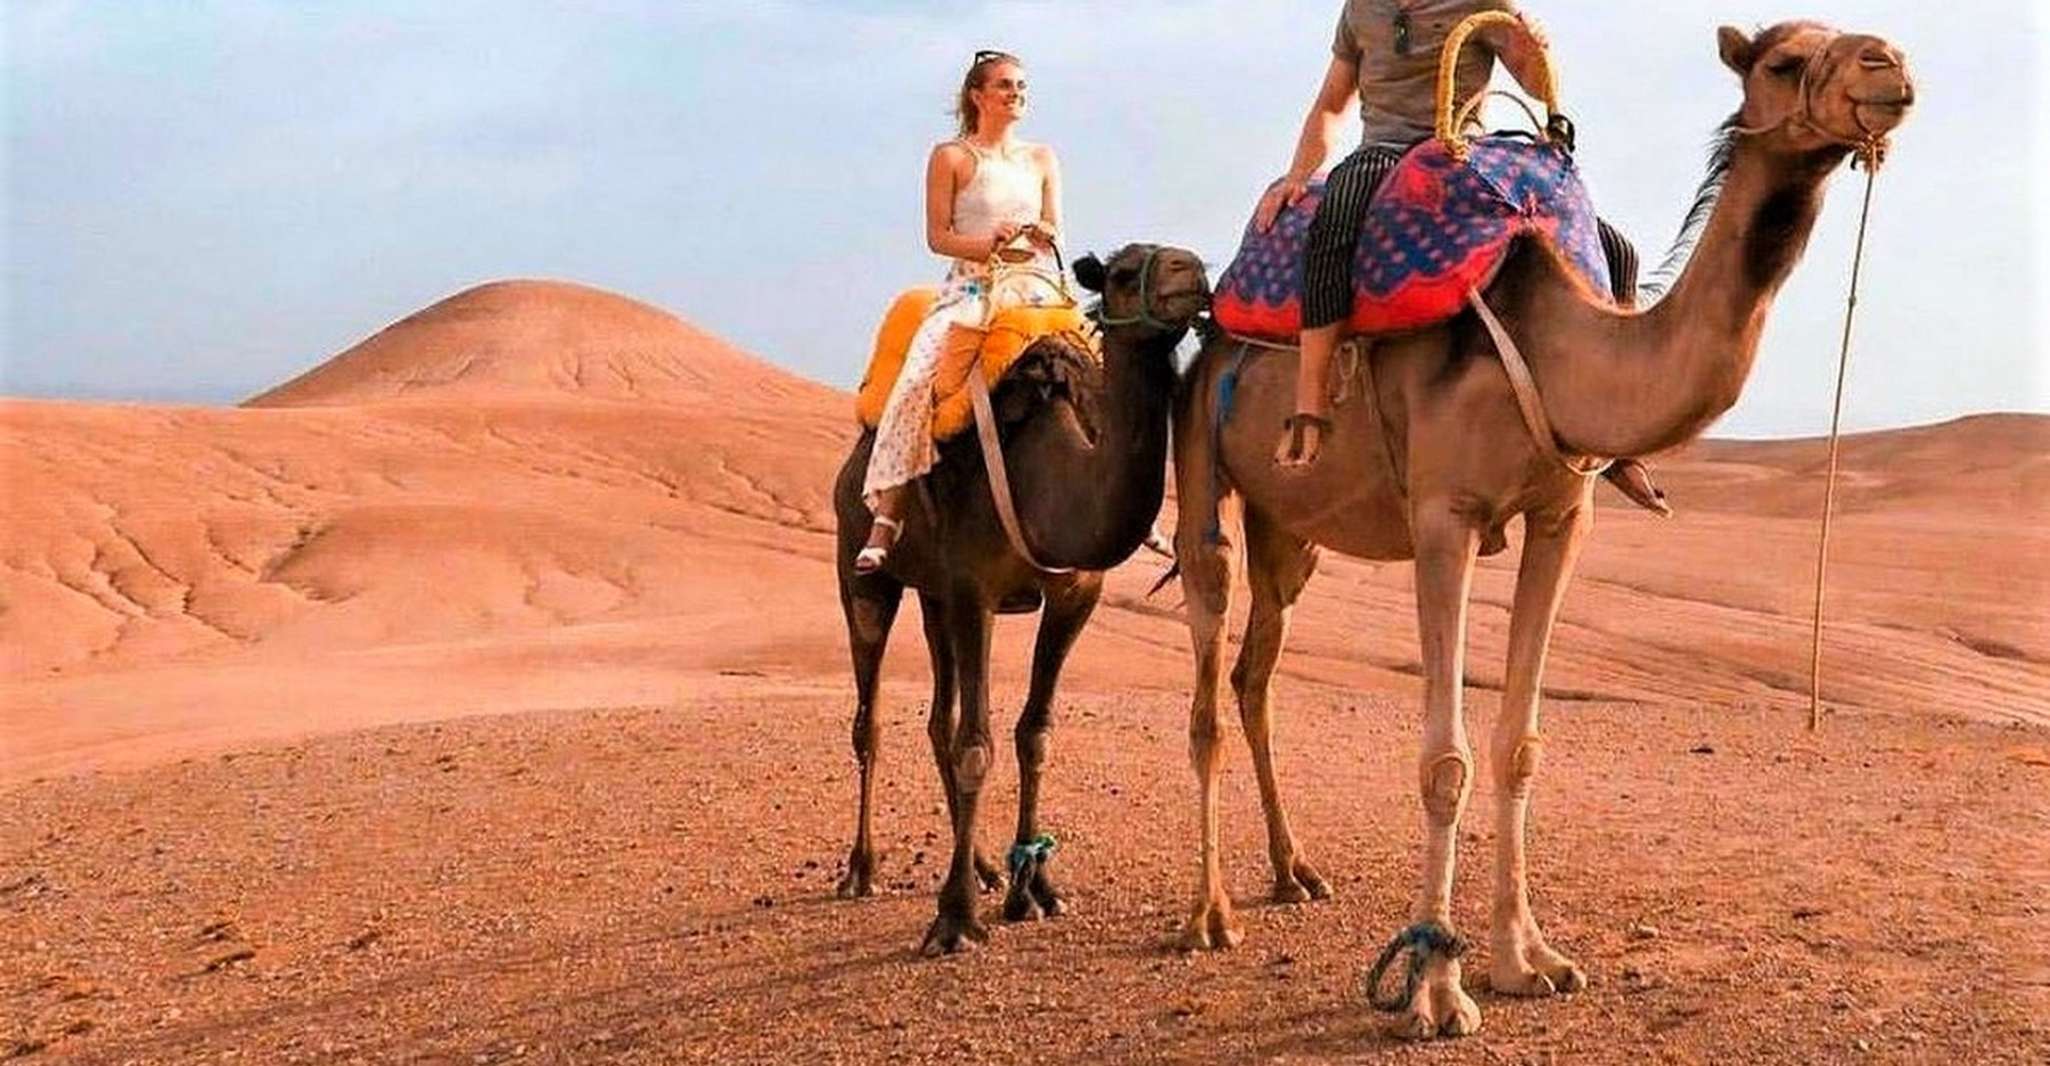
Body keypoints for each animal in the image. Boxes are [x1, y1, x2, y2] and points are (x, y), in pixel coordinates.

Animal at [832, 243, 1210, 954]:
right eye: (1125, 273)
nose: (1192, 271)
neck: (1050, 471)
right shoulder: (973, 588)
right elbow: (976, 745)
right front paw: (954, 920)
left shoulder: (1073, 595)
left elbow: (1033, 734)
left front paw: (1033, 890)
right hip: (862, 569)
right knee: (871, 717)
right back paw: (861, 871)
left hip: (932, 596)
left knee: (938, 716)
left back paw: (982, 865)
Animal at [1168, 21, 1914, 1039]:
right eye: (1784, 61)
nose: (1890, 68)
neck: (1559, 348)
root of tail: (1214, 325)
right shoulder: (1443, 517)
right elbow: (1444, 759)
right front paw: (1435, 989)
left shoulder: (1565, 516)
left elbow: (1520, 744)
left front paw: (1528, 960)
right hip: (1202, 456)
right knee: (1207, 677)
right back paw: (1210, 914)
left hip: (1292, 529)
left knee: (1256, 677)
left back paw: (1293, 873)